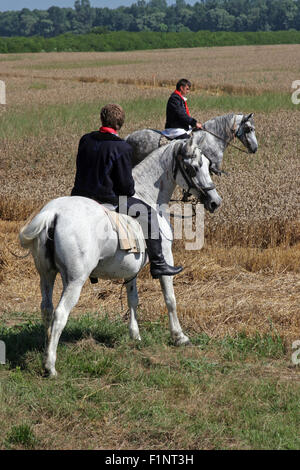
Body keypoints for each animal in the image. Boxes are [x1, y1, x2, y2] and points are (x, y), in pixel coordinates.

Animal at [18, 134, 220, 376]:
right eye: (193, 167)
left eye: (208, 164)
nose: (215, 202)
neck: (146, 194)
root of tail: (53, 213)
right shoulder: (166, 257)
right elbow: (170, 298)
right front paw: (179, 337)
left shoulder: (130, 270)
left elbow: (133, 299)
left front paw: (135, 335)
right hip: (74, 280)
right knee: (59, 314)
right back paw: (50, 366)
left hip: (46, 276)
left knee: (47, 310)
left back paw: (46, 350)